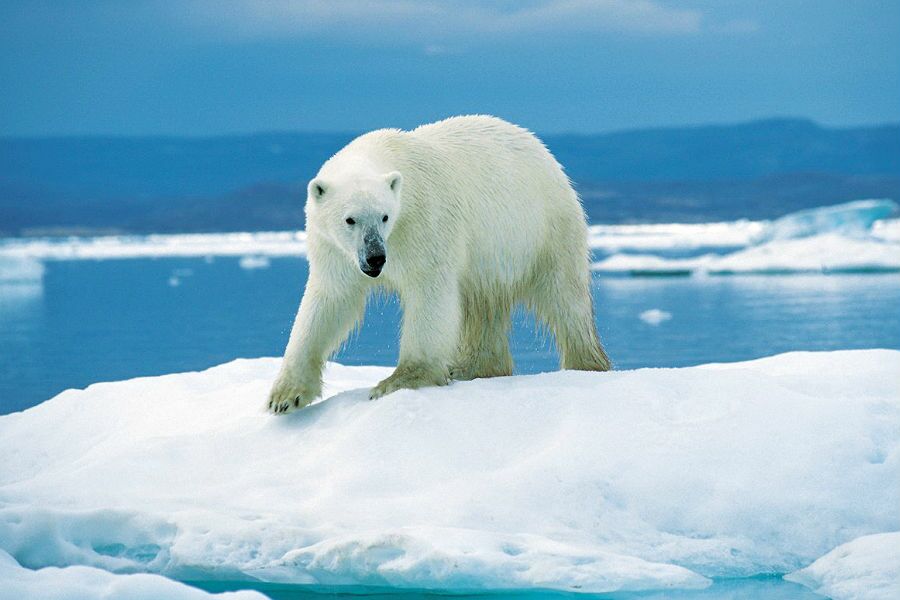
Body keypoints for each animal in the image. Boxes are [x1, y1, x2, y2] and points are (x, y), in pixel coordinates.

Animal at [268, 115, 610, 413]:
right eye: (350, 219)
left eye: (385, 216)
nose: (376, 257)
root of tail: (543, 152)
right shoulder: (334, 250)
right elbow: (330, 301)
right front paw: (285, 397)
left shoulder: (424, 221)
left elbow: (429, 293)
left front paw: (398, 381)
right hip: (489, 258)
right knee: (482, 306)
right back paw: (473, 367)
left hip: (542, 228)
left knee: (564, 297)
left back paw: (586, 364)